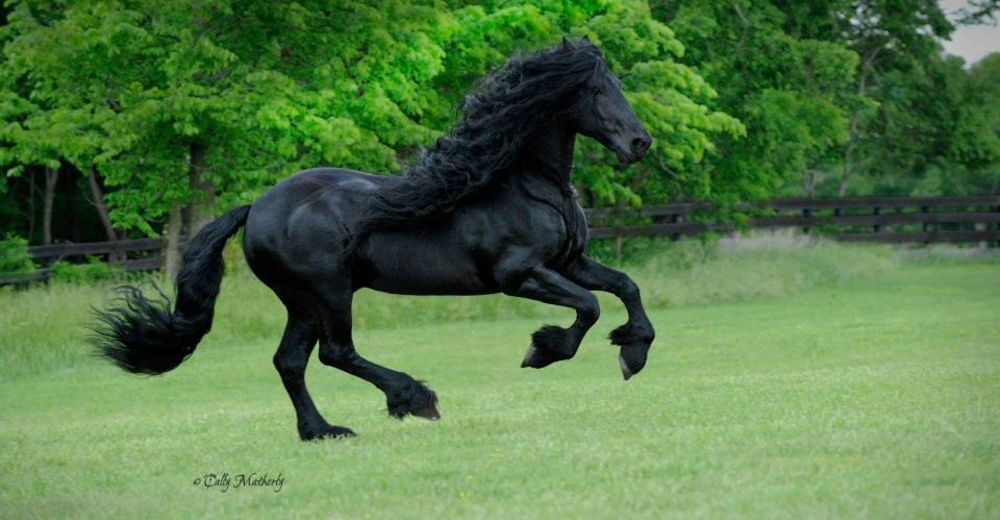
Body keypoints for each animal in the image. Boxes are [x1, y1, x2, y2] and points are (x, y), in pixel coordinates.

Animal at [94, 38, 656, 440]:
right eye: (595, 91)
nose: (639, 143)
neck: (526, 185)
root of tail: (256, 208)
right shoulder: (519, 275)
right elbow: (589, 308)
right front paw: (543, 350)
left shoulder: (571, 262)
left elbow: (625, 287)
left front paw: (633, 353)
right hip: (329, 293)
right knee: (336, 353)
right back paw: (415, 398)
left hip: (302, 303)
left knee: (290, 361)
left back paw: (322, 431)